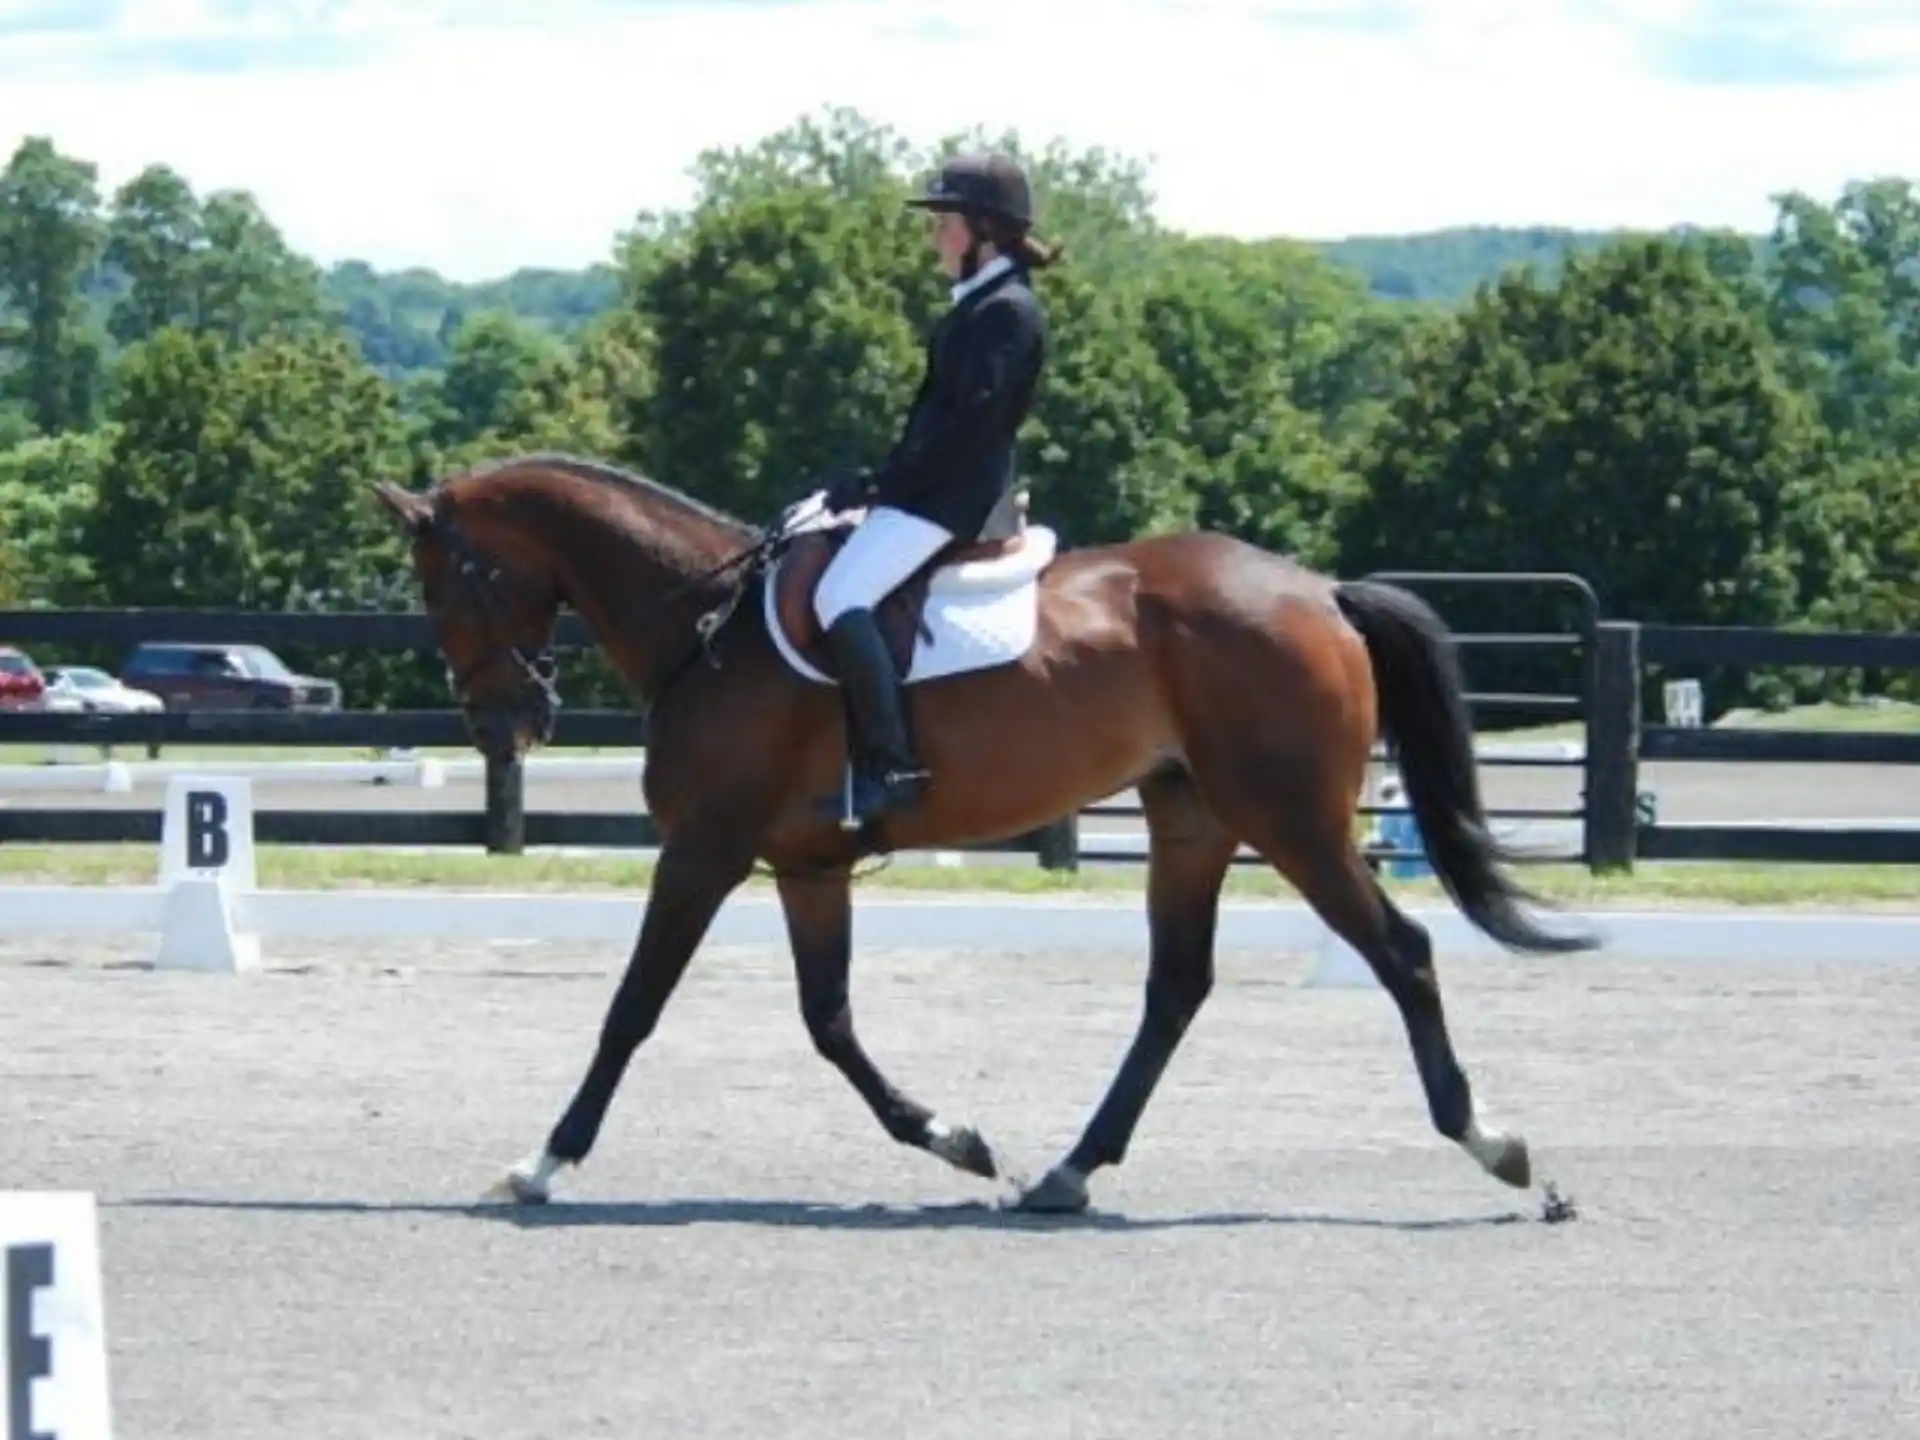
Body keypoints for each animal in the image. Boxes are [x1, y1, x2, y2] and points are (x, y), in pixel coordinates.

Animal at [371, 451, 1596, 1215]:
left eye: (446, 583)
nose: (504, 725)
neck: (705, 625)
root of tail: (1322, 593)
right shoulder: (807, 868)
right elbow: (829, 1021)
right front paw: (953, 1139)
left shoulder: (704, 852)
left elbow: (631, 1010)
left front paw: (541, 1164)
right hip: (1193, 821)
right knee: (1176, 989)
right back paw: (1066, 1171)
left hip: (1289, 819)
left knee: (1402, 953)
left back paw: (1497, 1148)